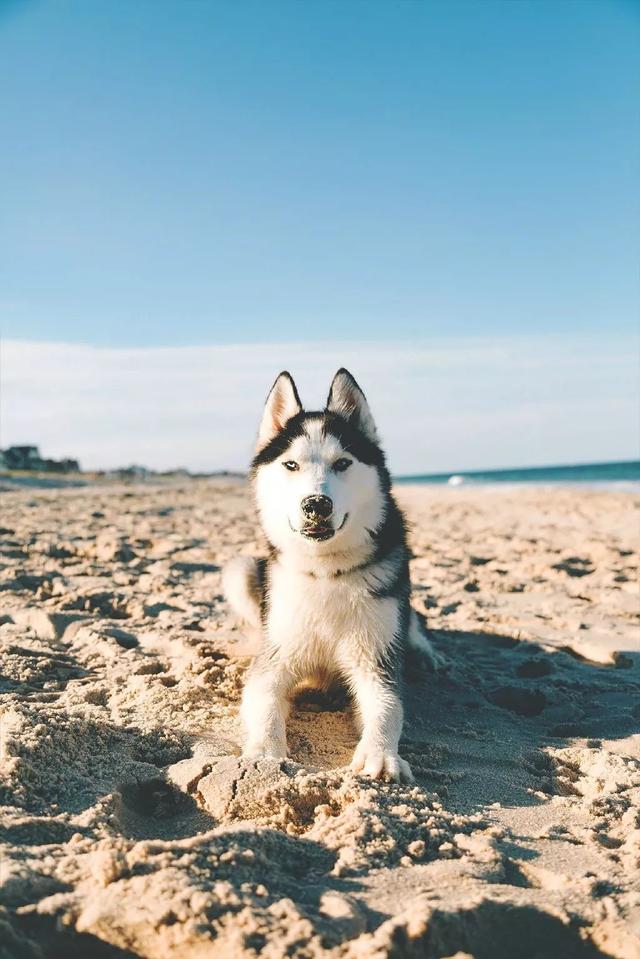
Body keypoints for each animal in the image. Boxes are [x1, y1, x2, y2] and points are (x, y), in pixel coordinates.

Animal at [221, 368, 440, 780]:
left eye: (343, 463)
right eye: (291, 465)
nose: (316, 504)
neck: (325, 572)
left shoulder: (376, 658)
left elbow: (388, 707)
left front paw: (380, 753)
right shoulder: (275, 659)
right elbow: (264, 702)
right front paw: (264, 752)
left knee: (412, 619)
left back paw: (424, 650)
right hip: (239, 569)